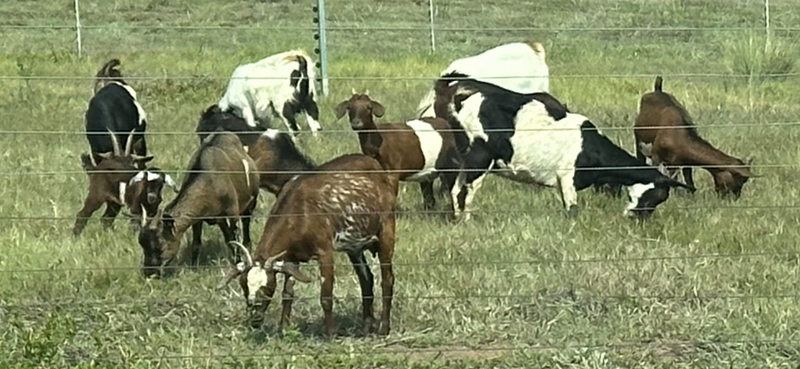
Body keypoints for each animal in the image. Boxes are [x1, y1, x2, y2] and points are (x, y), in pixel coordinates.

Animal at [138, 131, 260, 278]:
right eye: (142, 245)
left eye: (159, 246)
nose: (149, 273)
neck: (209, 182)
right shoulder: (200, 217)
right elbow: (197, 243)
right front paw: (194, 268)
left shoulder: (232, 211)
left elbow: (234, 236)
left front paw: (238, 263)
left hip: (252, 198)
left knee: (246, 222)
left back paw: (247, 246)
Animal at [217, 152, 398, 336]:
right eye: (244, 287)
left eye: (267, 288)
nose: (254, 319)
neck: (300, 211)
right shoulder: (291, 256)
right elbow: (287, 293)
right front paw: (283, 329)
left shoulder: (325, 252)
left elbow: (326, 296)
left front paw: (331, 333)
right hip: (354, 246)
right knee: (366, 278)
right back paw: (366, 327)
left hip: (386, 229)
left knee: (387, 280)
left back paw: (383, 328)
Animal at [332, 88, 460, 213]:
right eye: (349, 107)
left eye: (369, 107)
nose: (356, 123)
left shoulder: (393, 171)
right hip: (427, 171)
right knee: (429, 196)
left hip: (451, 165)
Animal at [432, 73, 692, 220]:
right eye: (658, 195)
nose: (637, 219)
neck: (589, 147)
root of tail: (457, 91)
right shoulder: (567, 176)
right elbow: (572, 209)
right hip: (479, 157)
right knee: (465, 190)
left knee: (455, 188)